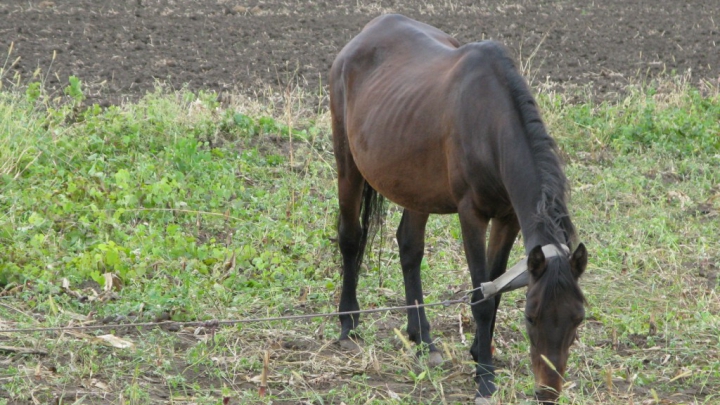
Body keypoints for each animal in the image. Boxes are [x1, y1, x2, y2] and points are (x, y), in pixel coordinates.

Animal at [330, 14, 588, 402]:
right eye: (531, 316)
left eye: (577, 319)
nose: (547, 392)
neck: (491, 123)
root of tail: (364, 35)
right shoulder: (472, 216)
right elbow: (481, 297)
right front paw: (485, 379)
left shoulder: (508, 219)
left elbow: (495, 292)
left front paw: (480, 353)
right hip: (348, 166)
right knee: (350, 239)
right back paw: (348, 324)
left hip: (414, 186)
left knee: (409, 248)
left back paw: (422, 337)